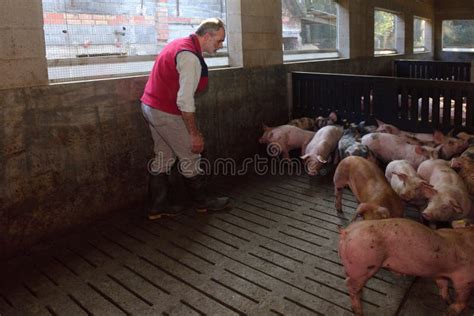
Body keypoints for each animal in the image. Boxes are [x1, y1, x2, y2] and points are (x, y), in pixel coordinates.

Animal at [336, 218, 474, 316]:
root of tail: (346, 232)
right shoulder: (465, 277)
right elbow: (463, 296)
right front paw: (450, 311)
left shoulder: (439, 272)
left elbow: (442, 284)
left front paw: (447, 300)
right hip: (364, 264)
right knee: (349, 284)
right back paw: (358, 311)